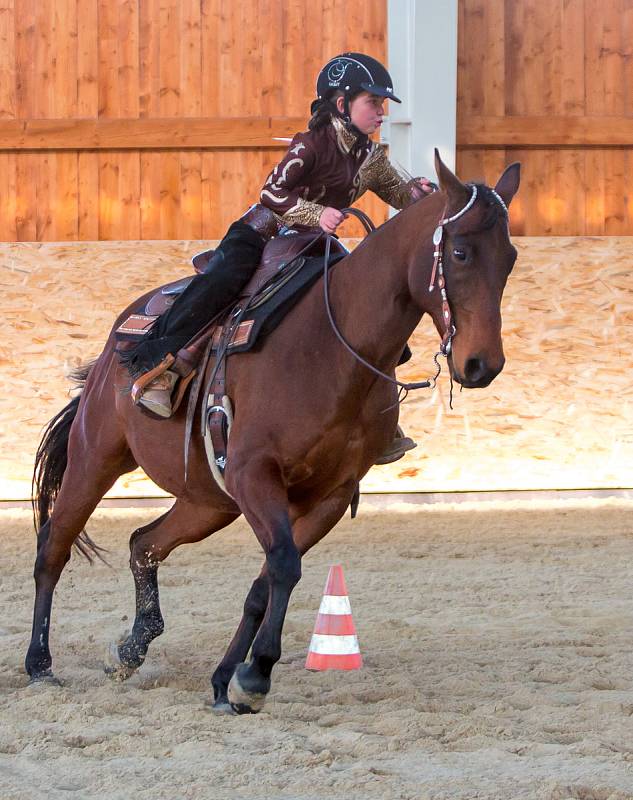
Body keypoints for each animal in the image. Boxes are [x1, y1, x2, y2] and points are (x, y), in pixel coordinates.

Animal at [24, 153, 520, 716]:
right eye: (459, 252)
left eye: (510, 258)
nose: (482, 364)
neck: (331, 344)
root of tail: (116, 345)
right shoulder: (255, 474)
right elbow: (283, 565)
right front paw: (255, 674)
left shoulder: (329, 495)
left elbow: (267, 581)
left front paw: (228, 679)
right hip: (96, 457)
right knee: (53, 546)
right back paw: (40, 665)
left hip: (208, 500)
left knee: (144, 544)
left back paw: (130, 650)